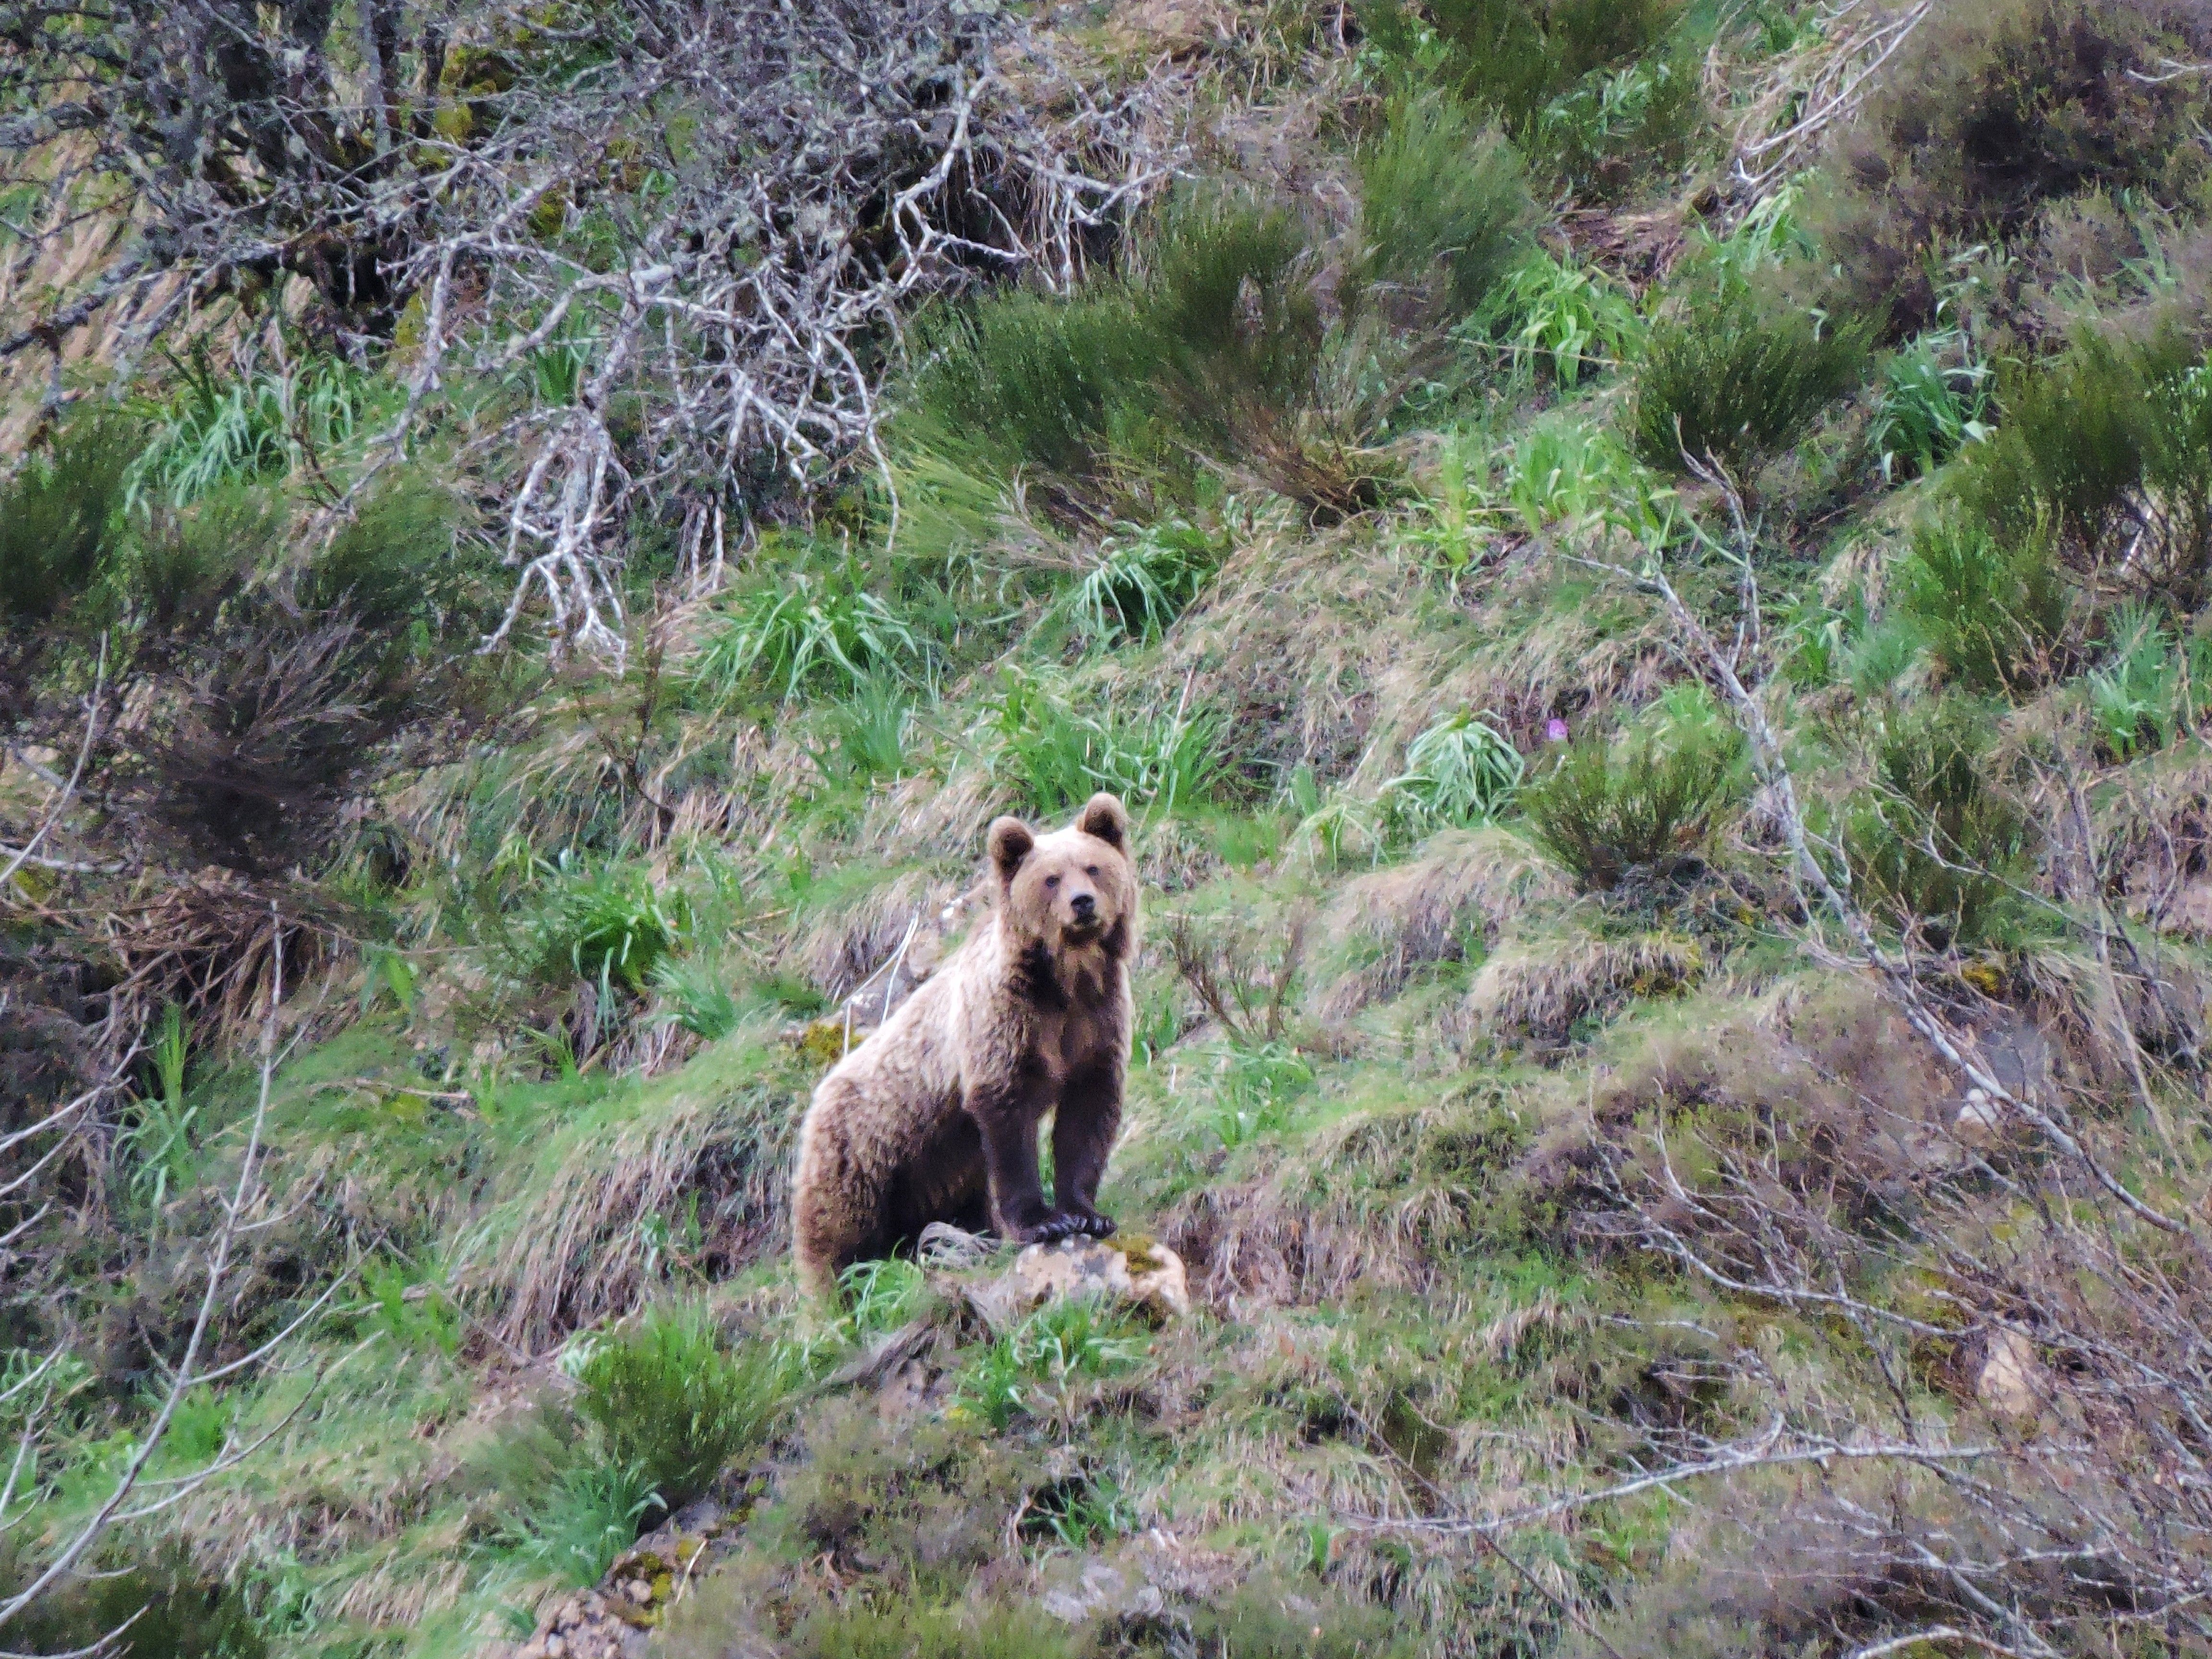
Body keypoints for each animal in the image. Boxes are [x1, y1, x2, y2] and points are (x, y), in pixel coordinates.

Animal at [792, 792, 1141, 1300]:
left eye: (1093, 867)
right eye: (1052, 878)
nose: (1082, 904)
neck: (1065, 982)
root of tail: (819, 1095)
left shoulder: (1096, 1024)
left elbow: (1087, 1116)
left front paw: (1087, 1215)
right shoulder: (1003, 1028)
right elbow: (1008, 1123)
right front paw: (1042, 1223)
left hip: (934, 1167)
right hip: (866, 1150)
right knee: (838, 1231)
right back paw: (838, 1292)